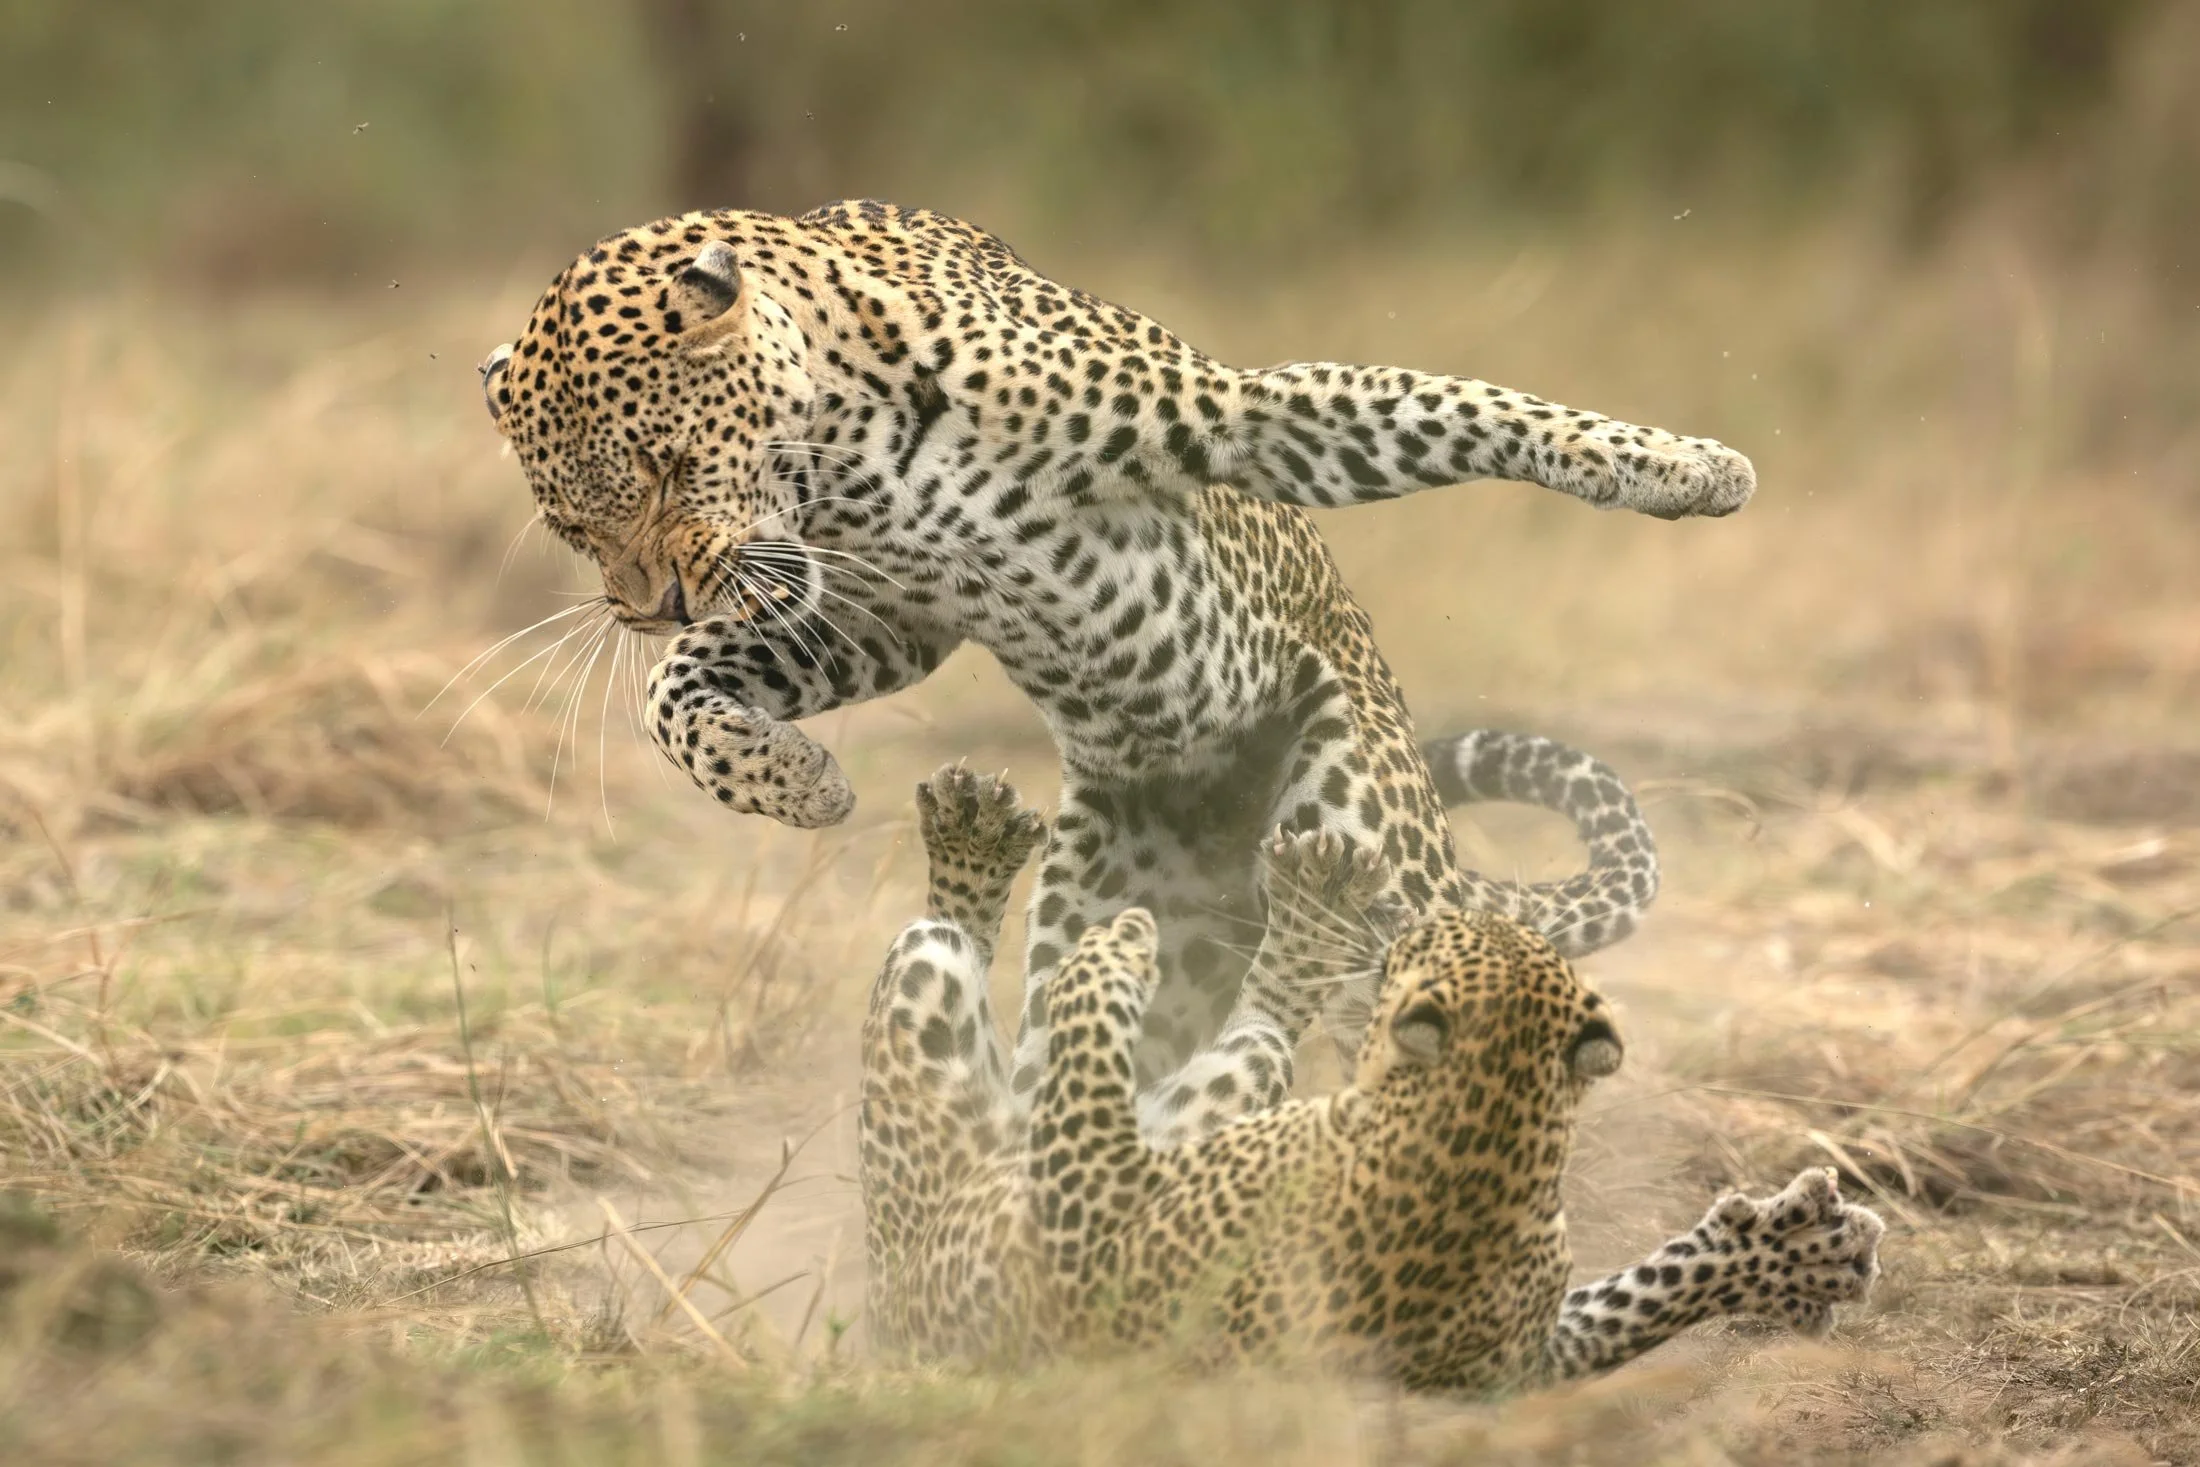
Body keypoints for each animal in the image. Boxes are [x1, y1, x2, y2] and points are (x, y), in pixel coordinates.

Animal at [479, 200, 1750, 1128]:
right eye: (571, 524)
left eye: (664, 465)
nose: (650, 605)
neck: (840, 452)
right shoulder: (893, 612)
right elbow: (672, 699)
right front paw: (796, 782)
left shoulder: (1240, 417)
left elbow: (1466, 406)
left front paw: (1686, 468)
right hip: (1118, 934)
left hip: (1369, 846)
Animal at [860, 767, 1885, 1389]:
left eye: (1440, 939)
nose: (1414, 919)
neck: (1481, 1139)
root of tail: (889, 1315)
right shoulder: (1528, 1347)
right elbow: (1640, 1296)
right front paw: (1802, 1250)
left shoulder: (1091, 1213)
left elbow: (1094, 1022)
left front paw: (1124, 942)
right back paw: (979, 831)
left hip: (936, 1026)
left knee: (985, 972)